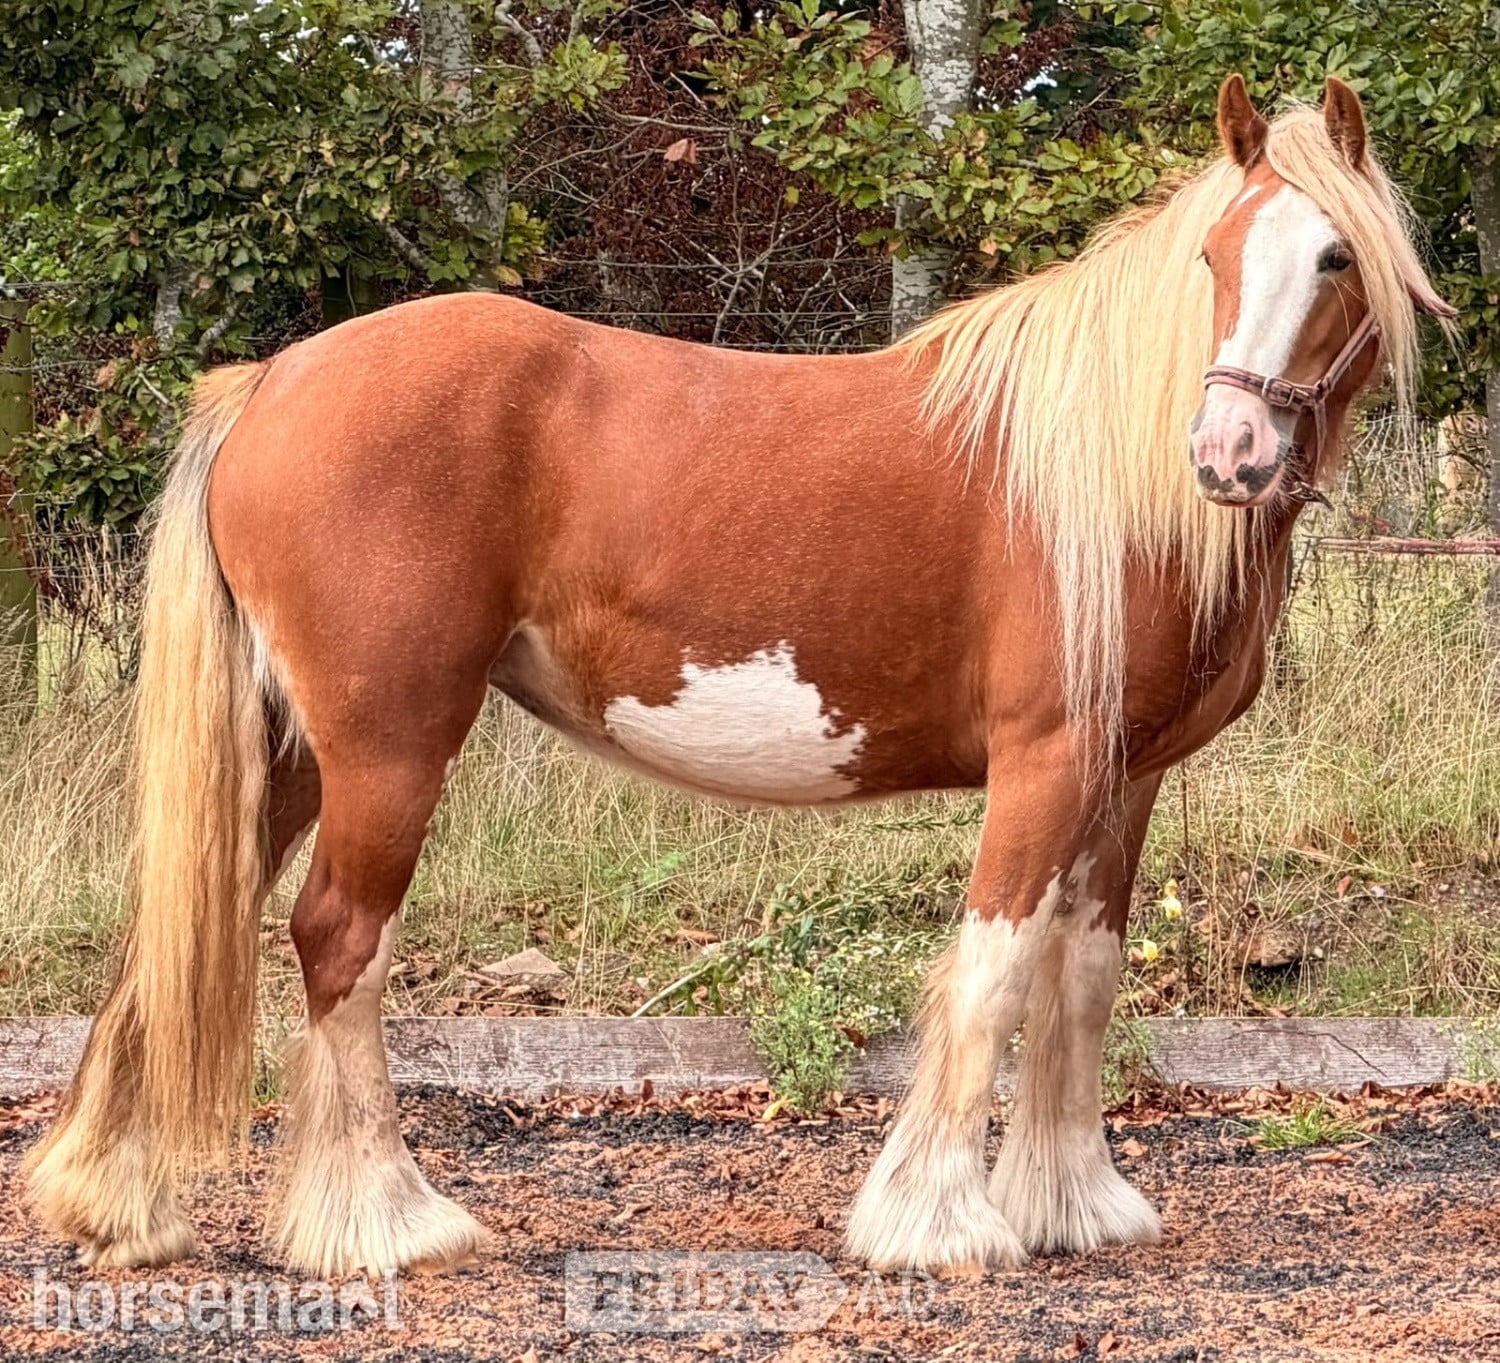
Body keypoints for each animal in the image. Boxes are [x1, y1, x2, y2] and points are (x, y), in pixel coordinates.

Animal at [26, 75, 1453, 1278]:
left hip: (289, 749)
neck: (1109, 482)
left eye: (1333, 258)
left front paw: (1072, 1204)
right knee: (339, 941)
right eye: (1214, 258)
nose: (1229, 452)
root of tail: (270, 381)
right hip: (387, 748)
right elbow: (994, 971)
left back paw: (117, 1205)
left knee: (189, 914)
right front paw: (935, 1224)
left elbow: (1080, 977)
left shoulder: (1126, 775)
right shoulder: (1046, 761)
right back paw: (386, 1221)